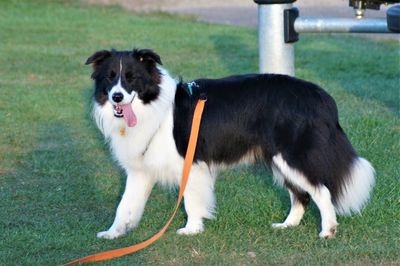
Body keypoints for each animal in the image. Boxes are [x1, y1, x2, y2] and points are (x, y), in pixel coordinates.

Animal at [85, 47, 376, 239]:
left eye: (131, 77)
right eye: (110, 77)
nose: (117, 97)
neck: (153, 107)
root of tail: (321, 96)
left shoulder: (190, 163)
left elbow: (191, 200)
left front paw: (191, 229)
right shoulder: (140, 170)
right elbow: (125, 204)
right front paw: (114, 233)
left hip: (293, 156)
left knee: (321, 191)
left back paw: (328, 230)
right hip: (278, 160)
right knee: (300, 194)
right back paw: (287, 225)